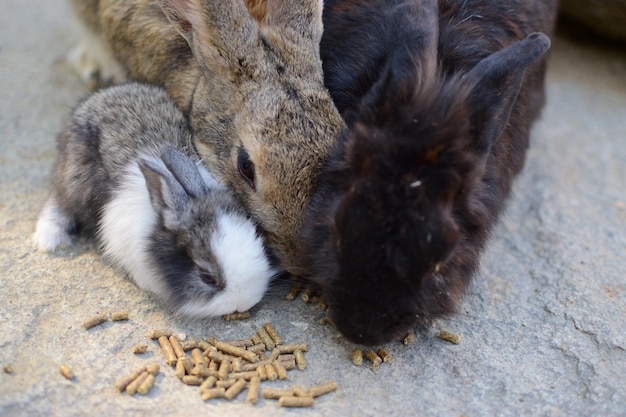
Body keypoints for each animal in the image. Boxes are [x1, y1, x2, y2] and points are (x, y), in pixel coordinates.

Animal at [34, 83, 276, 316]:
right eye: (207, 277)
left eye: (260, 245)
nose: (245, 303)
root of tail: (93, 100)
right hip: (73, 182)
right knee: (58, 201)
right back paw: (48, 240)